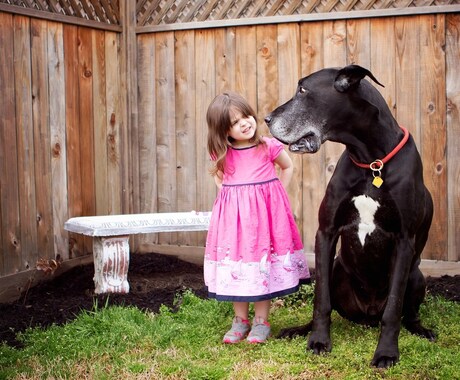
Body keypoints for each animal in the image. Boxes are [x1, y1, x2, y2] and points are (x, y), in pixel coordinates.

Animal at [266, 65, 434, 368]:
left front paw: (386, 352)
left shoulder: (405, 240)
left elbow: (393, 309)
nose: (266, 119)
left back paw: (421, 329)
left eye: (303, 90)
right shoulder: (326, 231)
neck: (371, 161)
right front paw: (318, 340)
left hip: (417, 276)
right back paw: (298, 330)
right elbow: (321, 301)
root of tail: (367, 315)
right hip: (336, 268)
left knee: (408, 313)